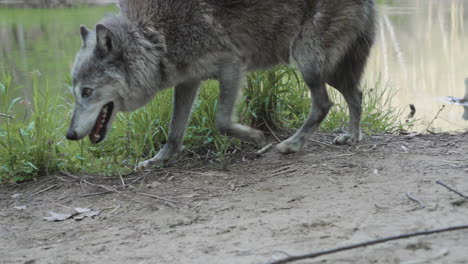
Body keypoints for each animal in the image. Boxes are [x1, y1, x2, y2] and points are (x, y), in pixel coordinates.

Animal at [66, 0, 376, 170]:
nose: (69, 135)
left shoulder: (232, 66)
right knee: (356, 94)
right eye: (75, 92)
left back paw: (293, 144)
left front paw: (257, 139)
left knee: (324, 104)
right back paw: (352, 137)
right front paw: (159, 160)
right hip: (329, 69)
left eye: (87, 91)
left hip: (307, 62)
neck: (153, 35)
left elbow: (222, 121)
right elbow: (174, 131)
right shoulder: (188, 81)